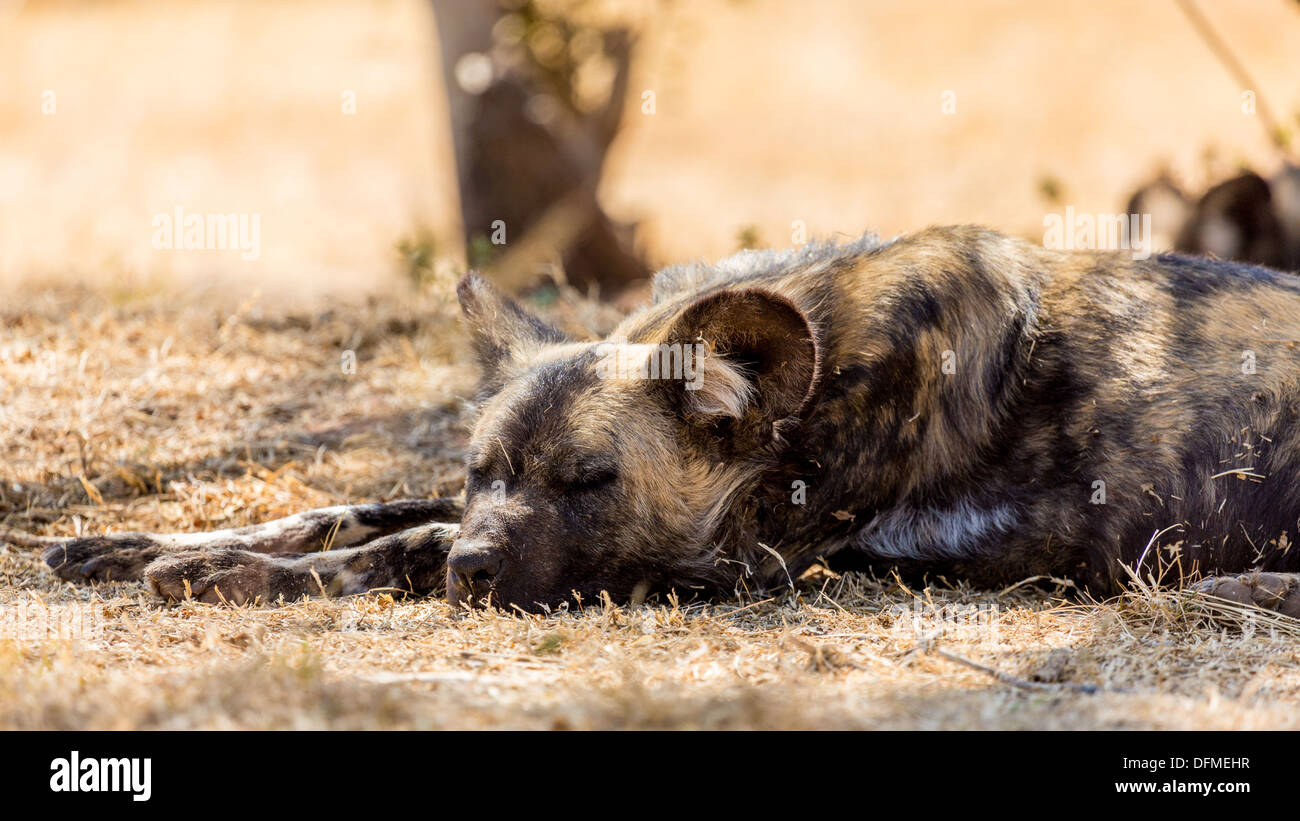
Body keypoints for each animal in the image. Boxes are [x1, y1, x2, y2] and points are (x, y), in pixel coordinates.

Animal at [35, 226, 1300, 615]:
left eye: (591, 481)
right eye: (488, 467)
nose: (484, 568)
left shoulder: (738, 565)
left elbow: (403, 542)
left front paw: (224, 575)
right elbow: (360, 506)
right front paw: (136, 545)